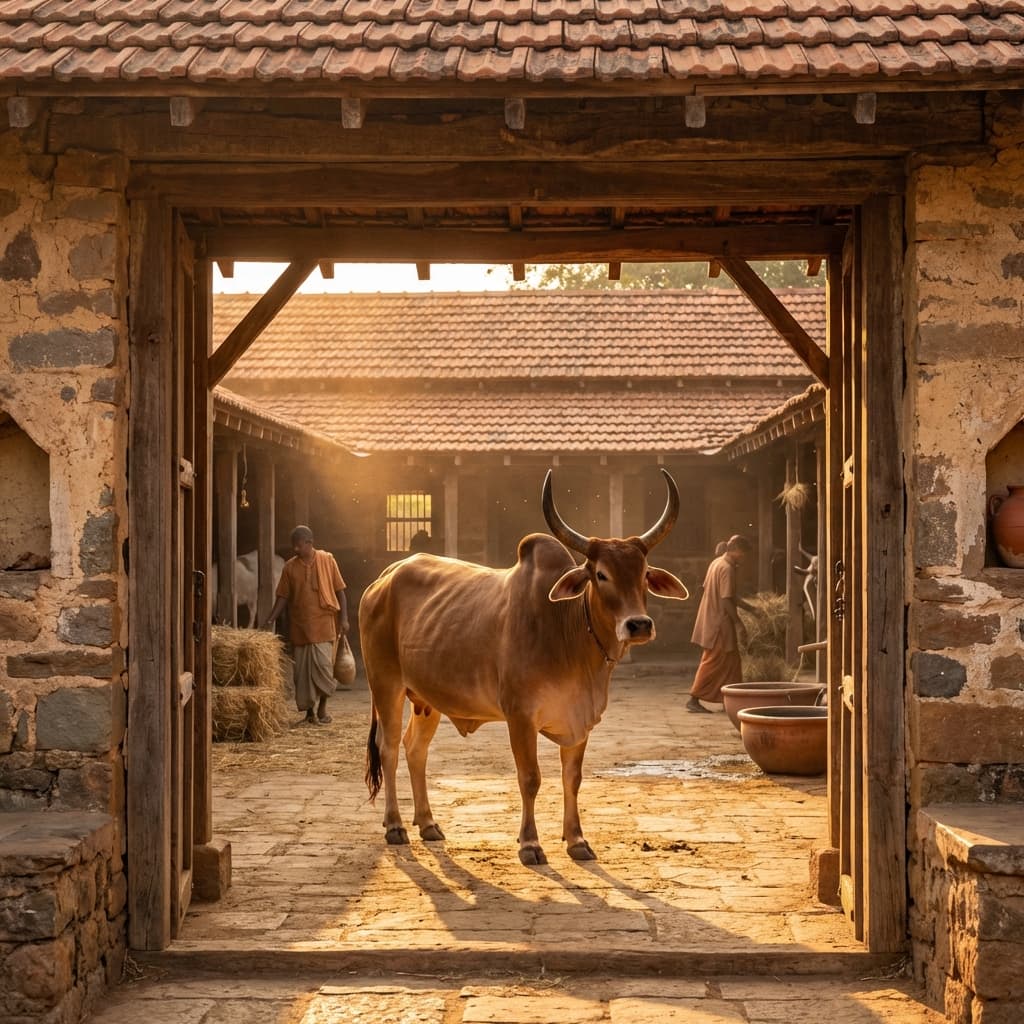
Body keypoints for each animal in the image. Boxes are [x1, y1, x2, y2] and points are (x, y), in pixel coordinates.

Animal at [360, 470, 689, 866]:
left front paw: (577, 840)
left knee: (415, 749)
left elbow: (572, 778)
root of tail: (385, 577)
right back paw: (395, 825)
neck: (568, 636)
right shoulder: (520, 716)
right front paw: (530, 844)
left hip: (427, 699)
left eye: (644, 575)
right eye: (600, 574)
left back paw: (427, 823)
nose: (638, 625)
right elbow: (530, 778)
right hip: (386, 686)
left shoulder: (580, 720)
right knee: (389, 748)